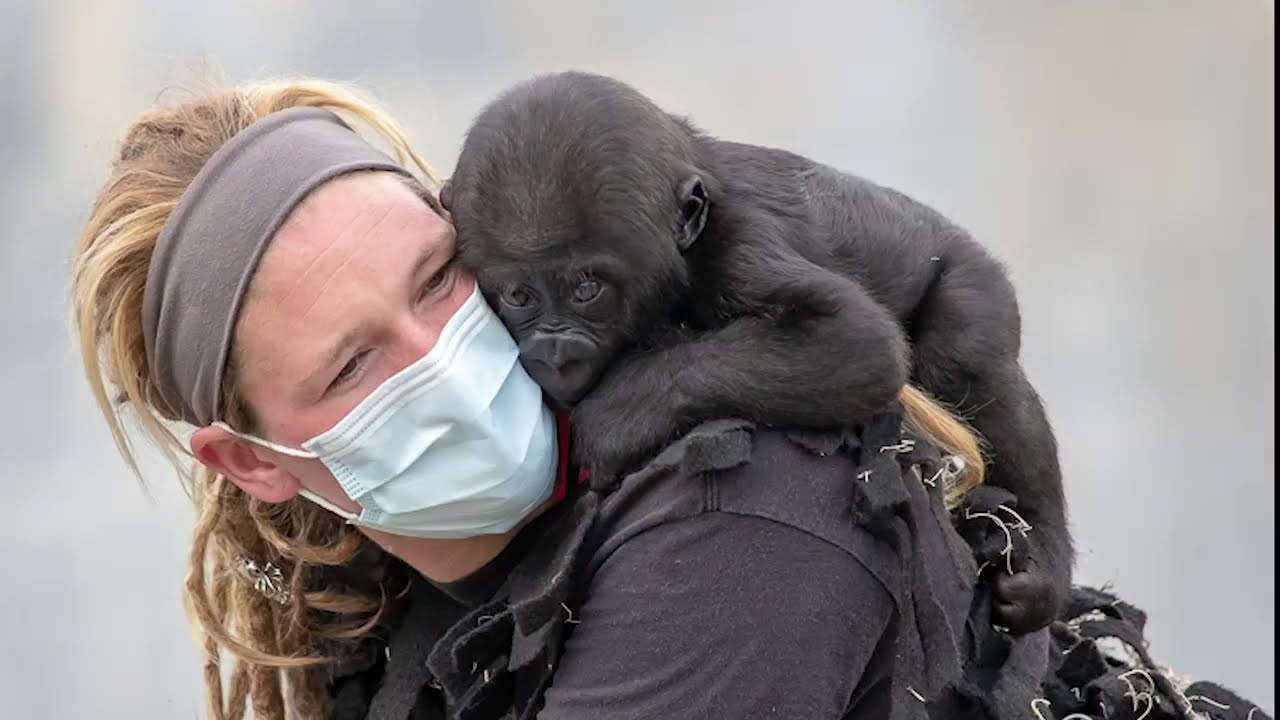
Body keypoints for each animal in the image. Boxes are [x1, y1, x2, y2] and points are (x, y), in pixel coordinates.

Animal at [442, 71, 1072, 635]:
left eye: (587, 289)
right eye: (519, 296)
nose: (555, 349)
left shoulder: (735, 244)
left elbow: (856, 341)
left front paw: (616, 418)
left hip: (971, 273)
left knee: (968, 361)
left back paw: (1045, 553)